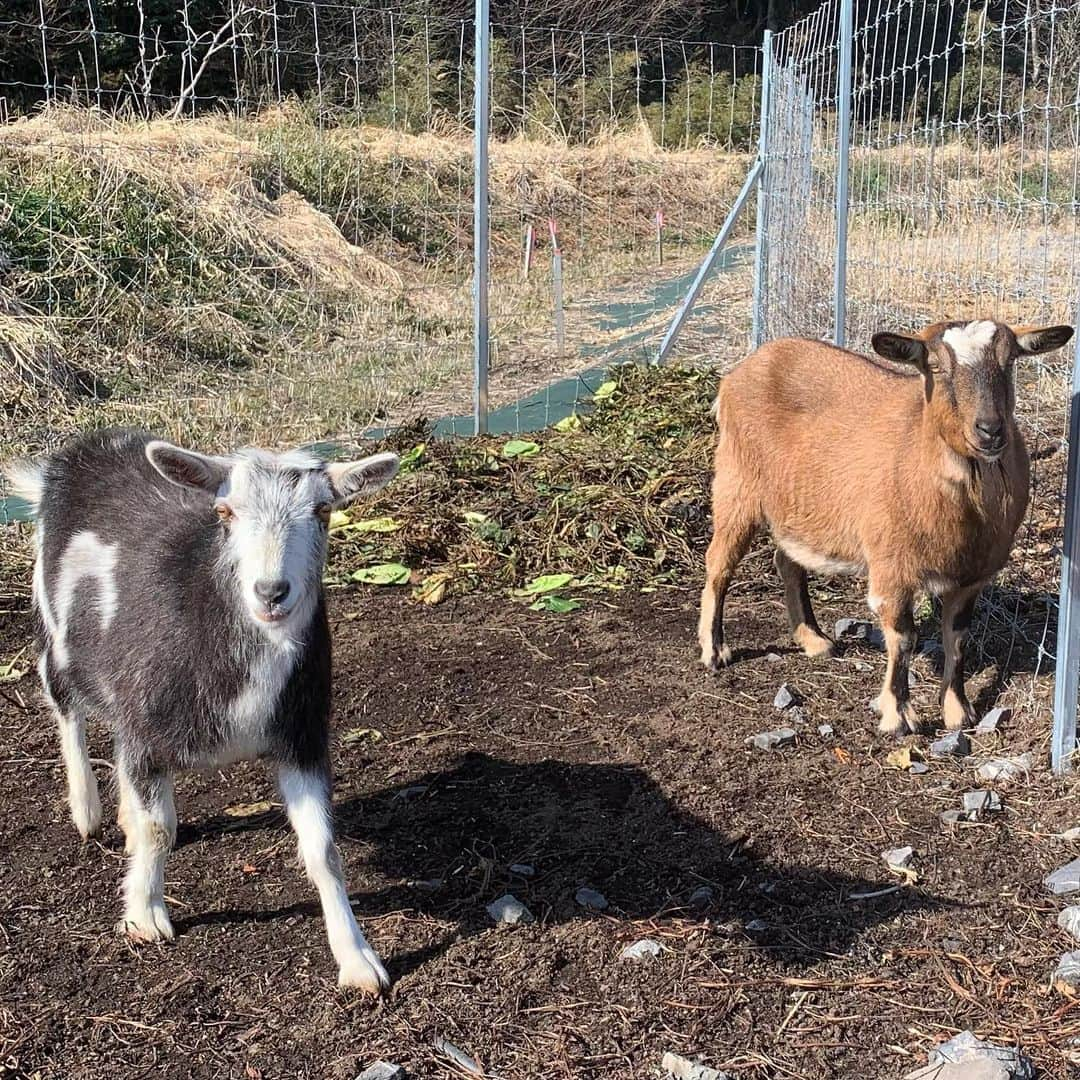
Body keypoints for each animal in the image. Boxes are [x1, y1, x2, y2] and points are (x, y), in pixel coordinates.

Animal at [4, 427, 401, 993]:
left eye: (323, 510)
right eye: (224, 511)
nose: (271, 592)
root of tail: (88, 446)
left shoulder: (302, 738)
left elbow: (324, 850)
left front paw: (357, 959)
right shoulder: (147, 728)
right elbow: (159, 829)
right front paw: (144, 916)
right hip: (54, 630)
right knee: (66, 708)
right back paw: (88, 811)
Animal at [699, 317, 1071, 734]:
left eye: (1010, 363)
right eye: (935, 366)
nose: (990, 430)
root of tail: (744, 369)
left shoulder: (972, 576)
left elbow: (958, 637)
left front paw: (958, 710)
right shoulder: (892, 567)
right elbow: (903, 637)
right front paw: (898, 714)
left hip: (796, 507)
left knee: (788, 562)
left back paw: (814, 640)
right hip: (736, 482)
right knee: (719, 564)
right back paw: (714, 650)